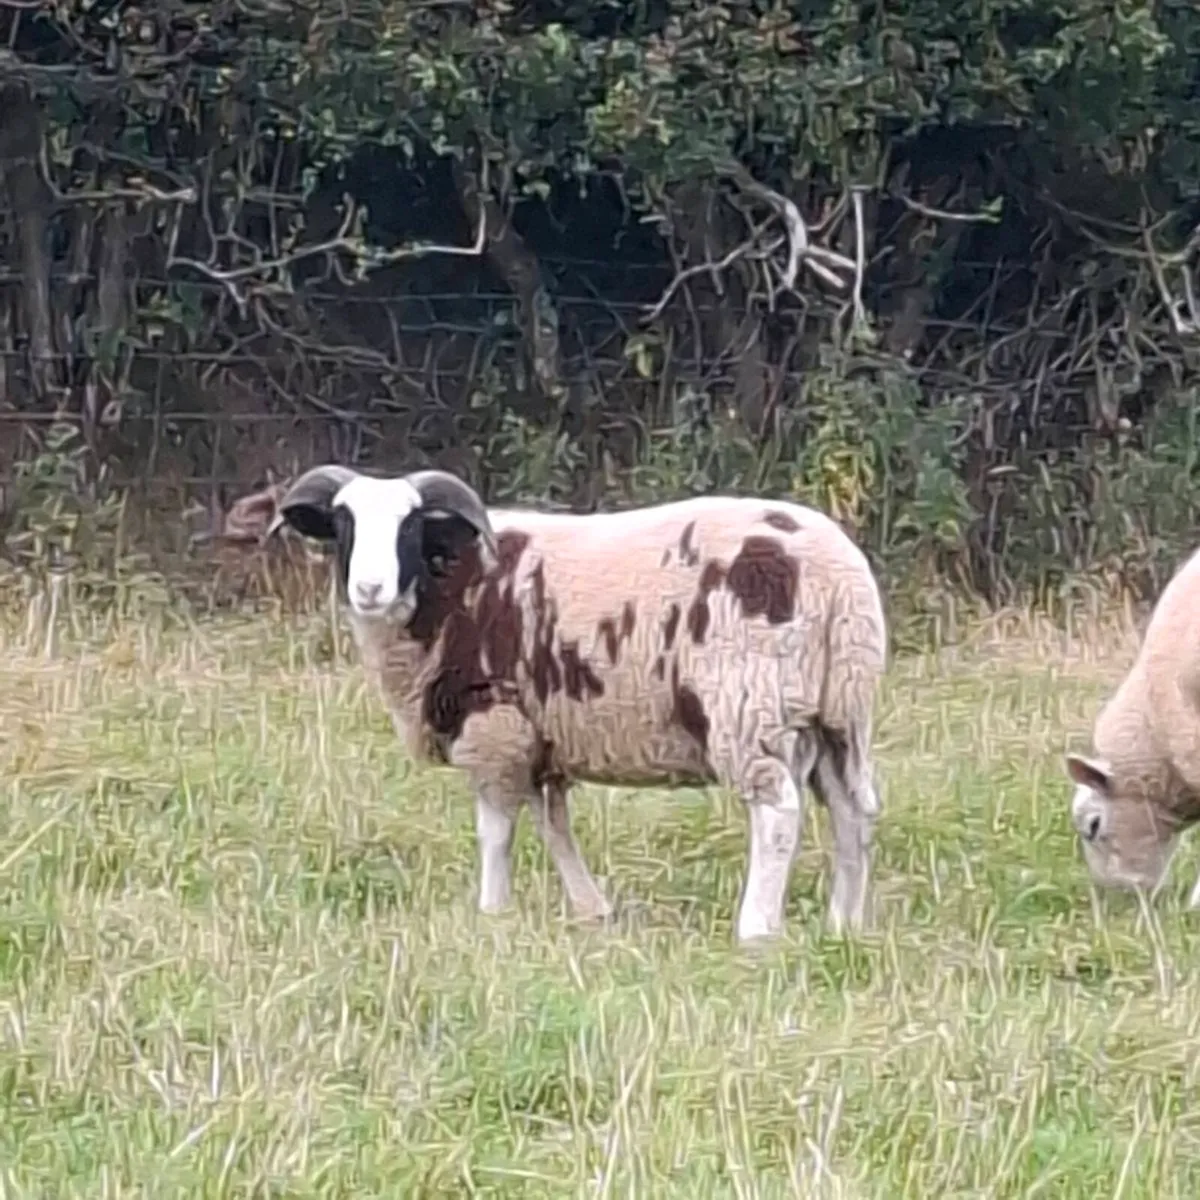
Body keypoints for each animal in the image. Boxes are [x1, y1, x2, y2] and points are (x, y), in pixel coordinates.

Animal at [249, 463, 889, 942]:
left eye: (410, 528)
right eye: (343, 523)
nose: (369, 589)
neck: (447, 580)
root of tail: (837, 573)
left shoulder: (495, 723)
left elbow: (496, 830)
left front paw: (492, 911)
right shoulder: (541, 736)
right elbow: (553, 823)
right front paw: (591, 910)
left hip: (749, 705)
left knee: (778, 812)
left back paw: (756, 929)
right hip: (838, 713)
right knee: (853, 810)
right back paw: (844, 926)